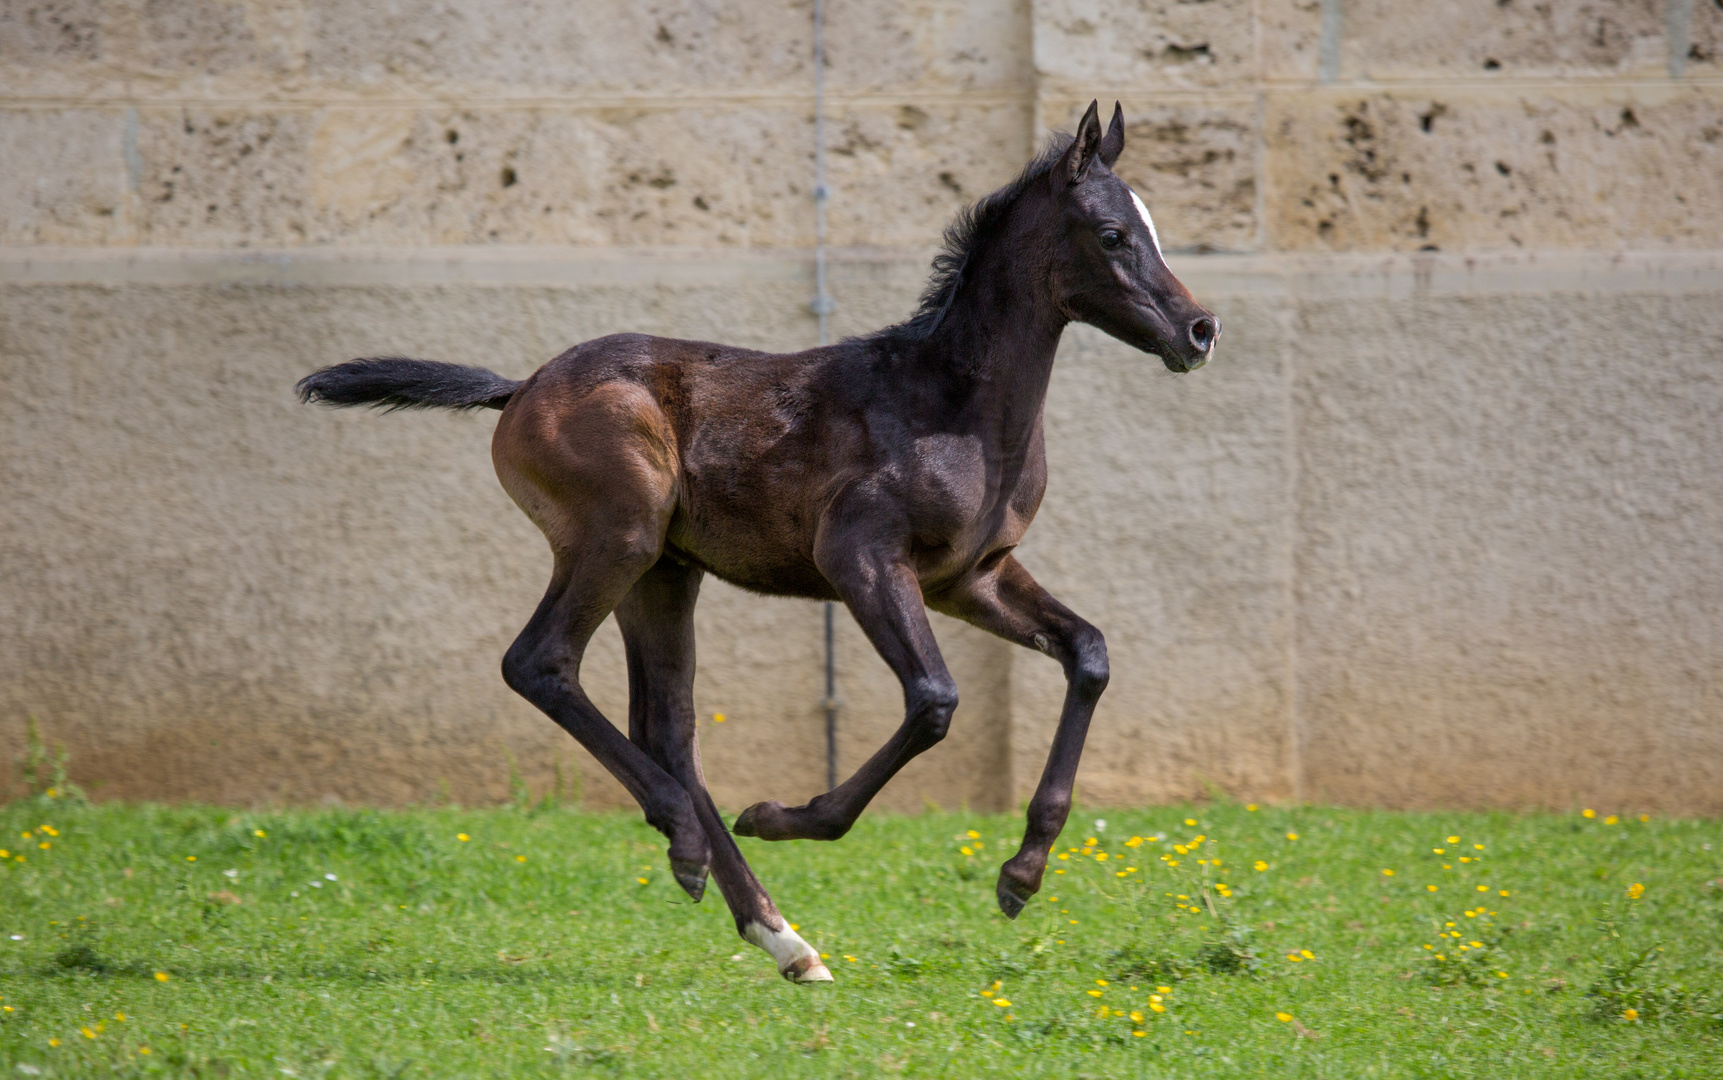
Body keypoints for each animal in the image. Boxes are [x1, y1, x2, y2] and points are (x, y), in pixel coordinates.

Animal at [299, 103, 1212, 992]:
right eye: (1112, 234)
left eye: (1153, 228)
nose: (1200, 330)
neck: (954, 407)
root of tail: (518, 388)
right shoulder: (861, 559)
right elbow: (933, 699)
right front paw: (785, 816)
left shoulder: (970, 578)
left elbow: (1088, 653)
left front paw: (1020, 875)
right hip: (614, 540)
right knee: (540, 663)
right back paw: (687, 841)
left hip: (664, 573)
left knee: (667, 724)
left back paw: (781, 937)